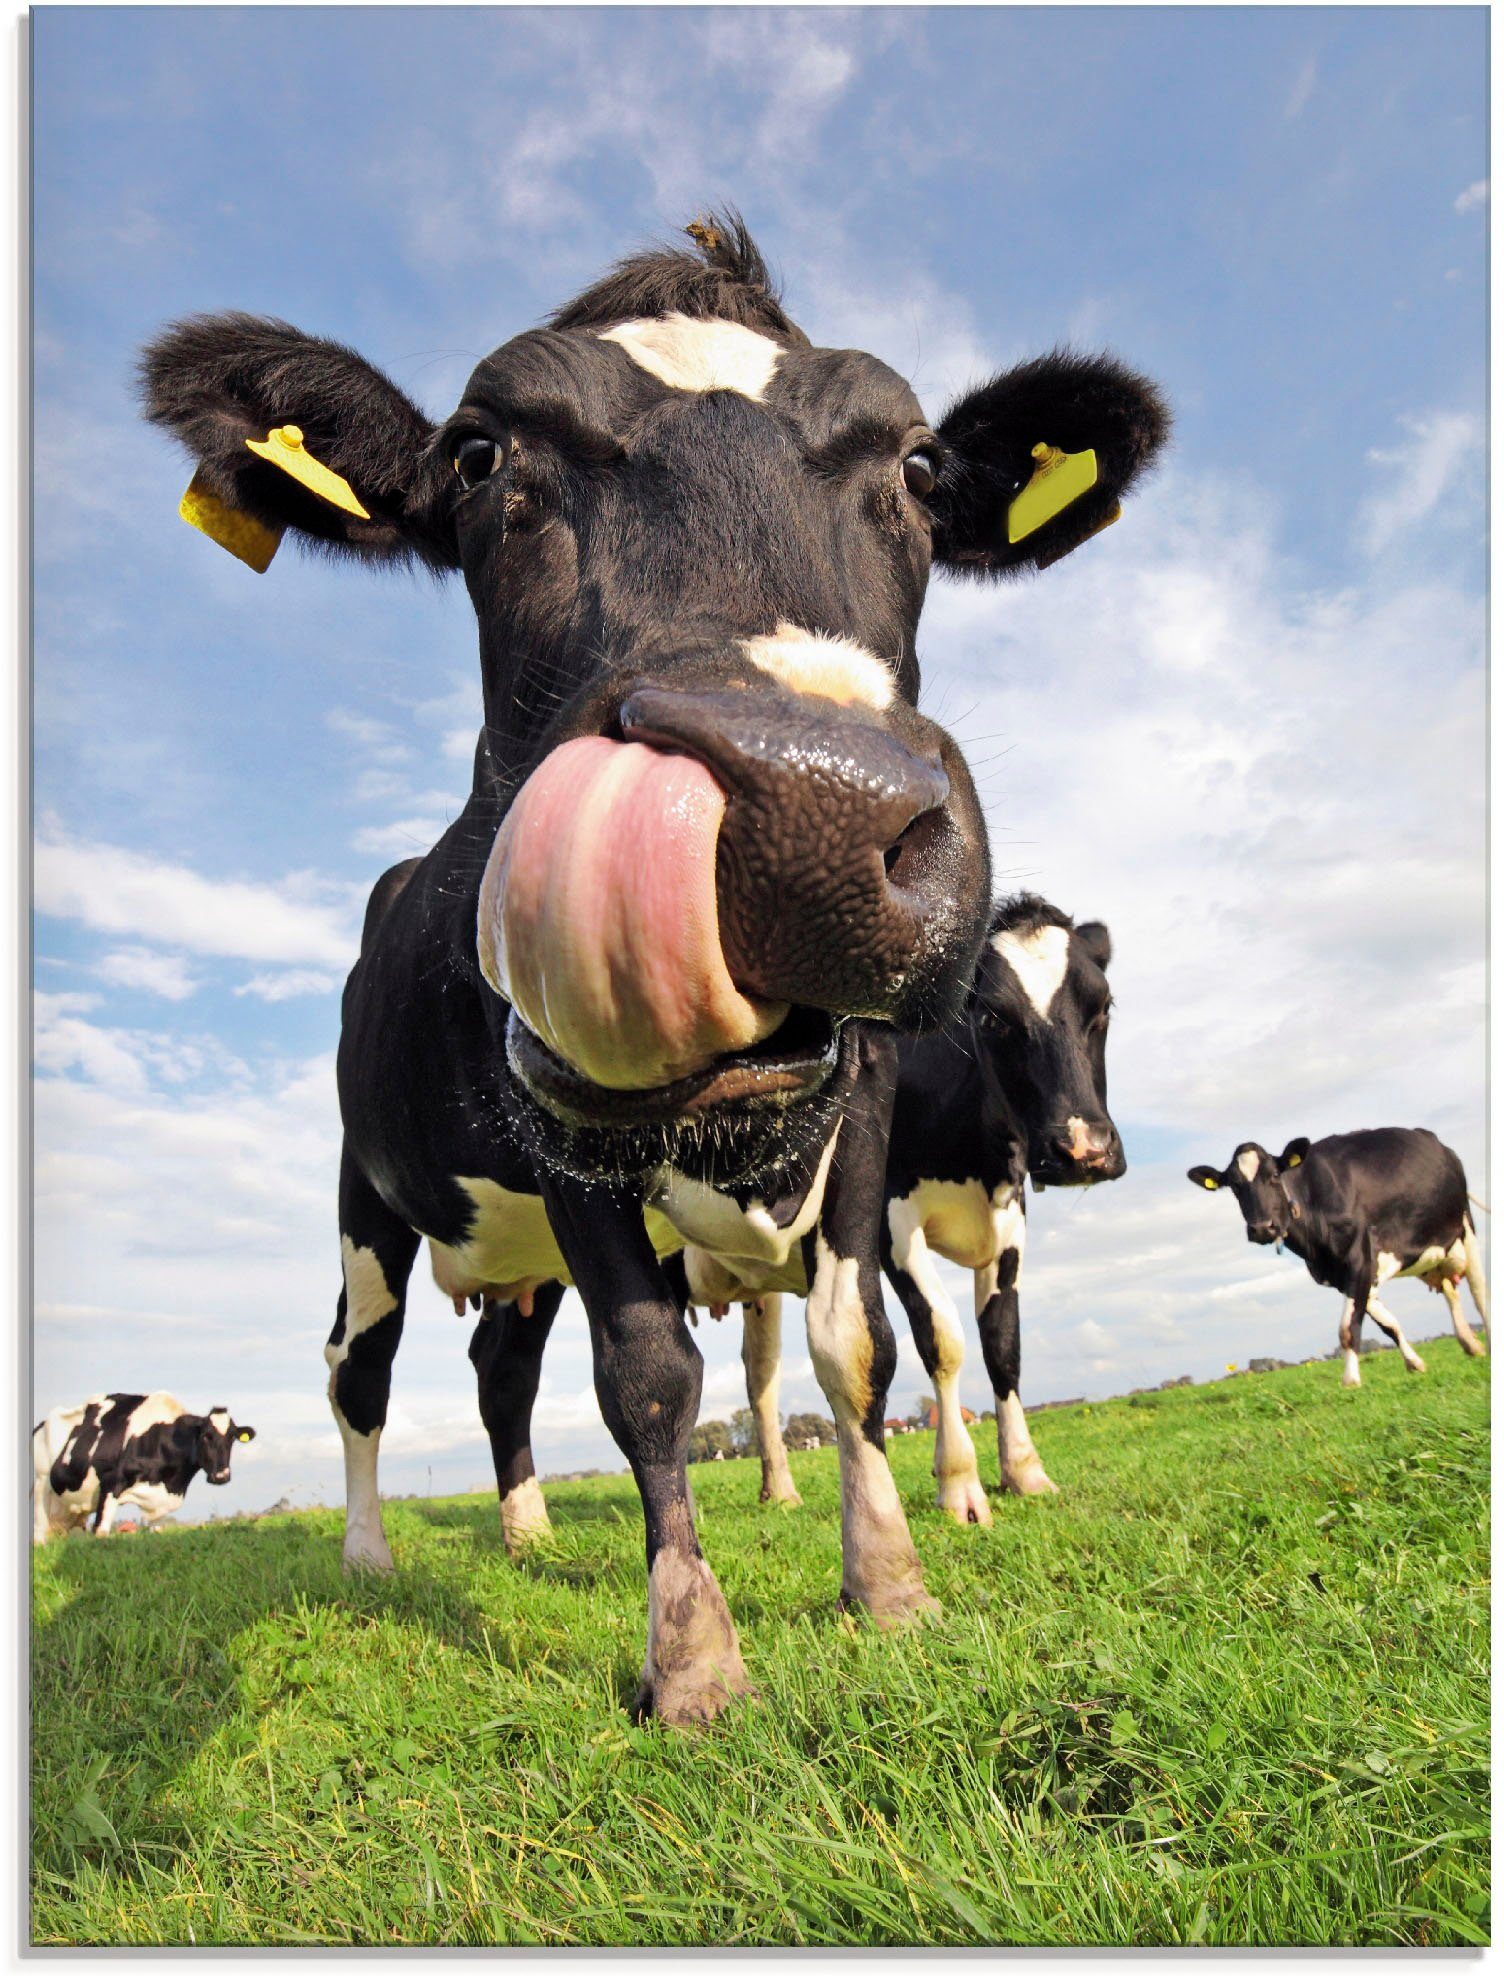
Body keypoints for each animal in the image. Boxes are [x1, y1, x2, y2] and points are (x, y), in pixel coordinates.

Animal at [32, 1394, 256, 1543]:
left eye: (232, 1438)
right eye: (206, 1436)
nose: (221, 1476)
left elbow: (157, 1529)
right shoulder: (111, 1483)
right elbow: (101, 1531)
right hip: (41, 1485)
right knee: (39, 1535)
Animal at [142, 213, 1168, 1724]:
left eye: (921, 467)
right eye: (477, 456)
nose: (814, 807)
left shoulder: (865, 1112)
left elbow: (857, 1345)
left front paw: (890, 1582)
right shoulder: (560, 1122)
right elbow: (646, 1375)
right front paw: (690, 1654)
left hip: (513, 1255)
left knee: (501, 1369)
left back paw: (521, 1528)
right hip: (366, 1198)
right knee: (358, 1367)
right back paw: (371, 1553)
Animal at [1187, 1129, 1489, 1386]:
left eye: (1274, 1175)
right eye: (1234, 1186)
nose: (1262, 1228)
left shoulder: (1359, 1258)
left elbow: (1347, 1329)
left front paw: (1350, 1380)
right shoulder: (1343, 1274)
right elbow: (1388, 1324)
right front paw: (1414, 1363)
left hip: (1465, 1228)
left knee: (1479, 1294)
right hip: (1435, 1252)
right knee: (1450, 1290)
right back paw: (1470, 1344)